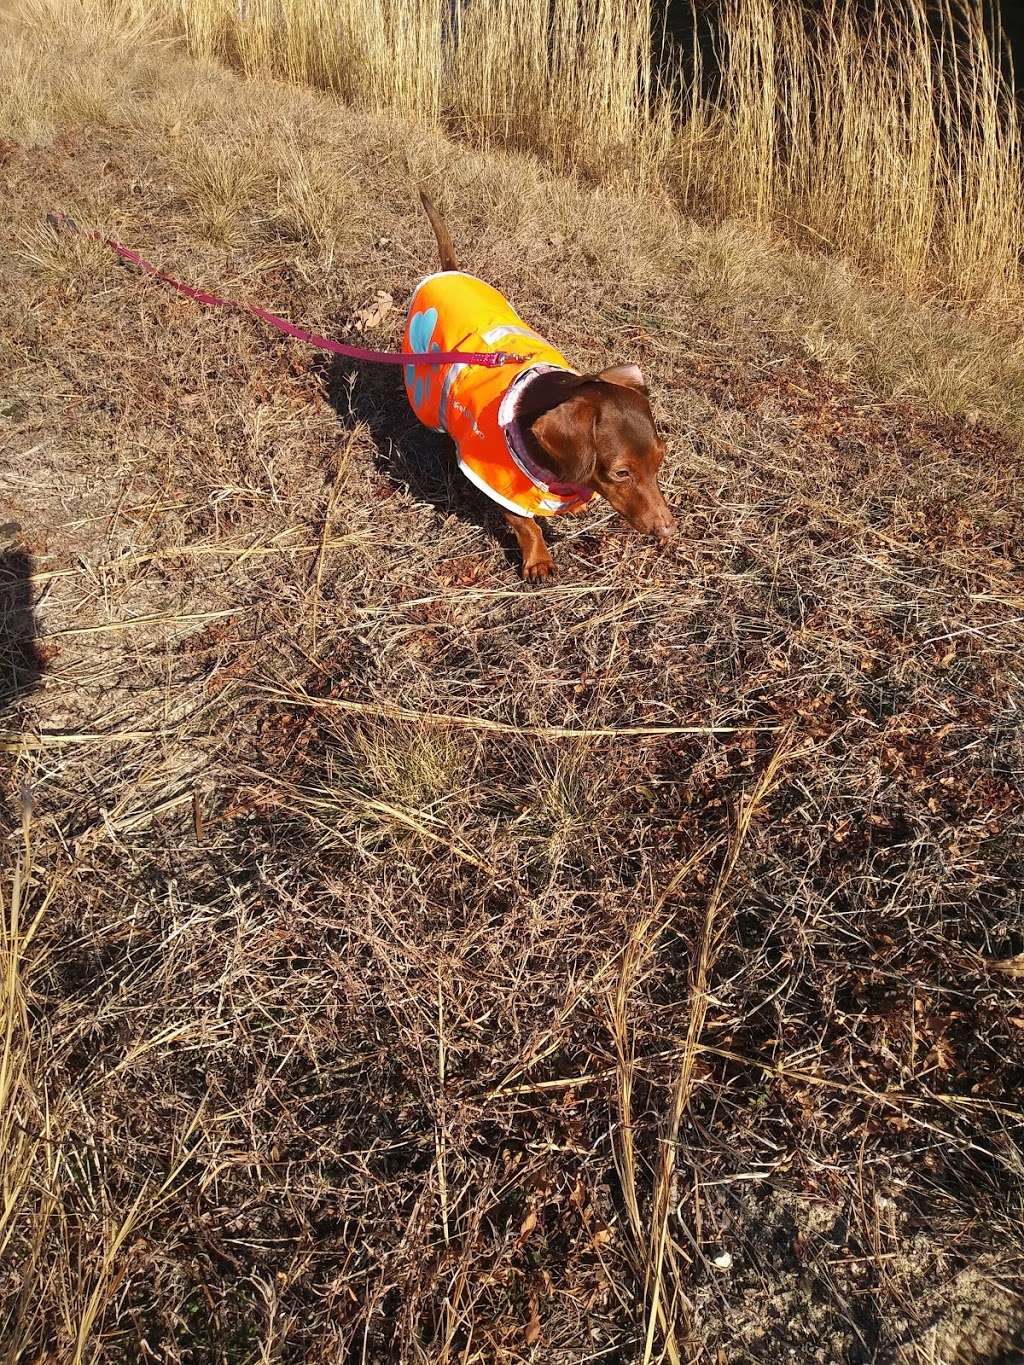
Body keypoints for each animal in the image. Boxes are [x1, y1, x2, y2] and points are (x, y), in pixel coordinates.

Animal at [404, 192, 677, 576]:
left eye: (660, 458)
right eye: (622, 473)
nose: (667, 530)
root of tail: (448, 272)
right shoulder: (496, 481)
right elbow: (525, 523)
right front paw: (538, 560)